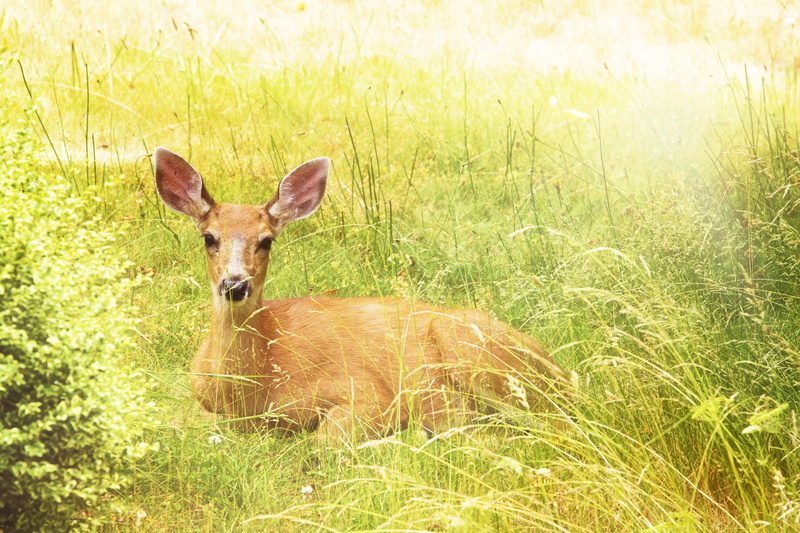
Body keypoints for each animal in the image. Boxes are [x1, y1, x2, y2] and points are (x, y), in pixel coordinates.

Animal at [154, 147, 575, 440]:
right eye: (209, 238)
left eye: (266, 241)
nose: (235, 284)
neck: (252, 390)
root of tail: (560, 373)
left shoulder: (367, 392)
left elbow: (323, 441)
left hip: (473, 352)